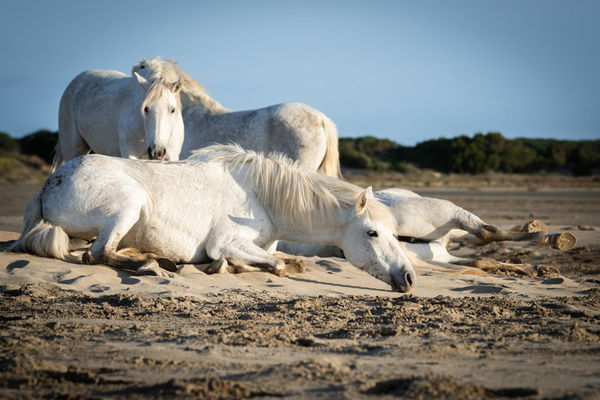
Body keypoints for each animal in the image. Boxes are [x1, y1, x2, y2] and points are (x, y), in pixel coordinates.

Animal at [1, 145, 418, 292]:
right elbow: (277, 266)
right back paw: (155, 264)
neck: (263, 196)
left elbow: (279, 261)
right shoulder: (227, 241)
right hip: (129, 204)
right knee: (99, 254)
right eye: (373, 233)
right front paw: (221, 267)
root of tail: (48, 184)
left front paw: (225, 268)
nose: (409, 278)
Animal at [53, 59, 185, 169]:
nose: (157, 151)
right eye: (146, 109)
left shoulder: (172, 157)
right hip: (73, 150)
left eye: (172, 110)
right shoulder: (130, 154)